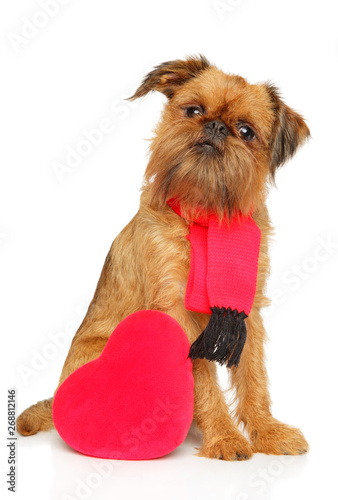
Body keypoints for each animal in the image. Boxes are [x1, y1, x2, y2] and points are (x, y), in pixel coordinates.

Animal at [17, 55, 308, 460]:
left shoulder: (246, 312)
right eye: (194, 111)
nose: (215, 126)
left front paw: (266, 431)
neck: (206, 220)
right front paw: (225, 437)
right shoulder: (177, 313)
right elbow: (203, 382)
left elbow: (253, 376)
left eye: (246, 131)